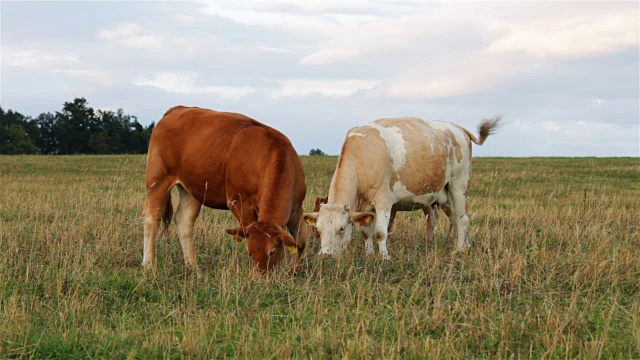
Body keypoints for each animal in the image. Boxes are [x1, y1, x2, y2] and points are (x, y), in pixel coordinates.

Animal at [142, 105, 308, 274]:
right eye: (250, 252)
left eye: (272, 252)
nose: (258, 277)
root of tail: (177, 109)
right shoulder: (240, 203)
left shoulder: (296, 208)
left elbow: (301, 241)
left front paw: (292, 271)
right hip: (157, 179)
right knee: (152, 218)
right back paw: (149, 264)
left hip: (191, 189)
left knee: (184, 220)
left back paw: (194, 268)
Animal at [304, 116, 500, 260]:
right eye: (318, 229)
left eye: (342, 228)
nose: (325, 255)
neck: (363, 157)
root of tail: (456, 127)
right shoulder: (365, 206)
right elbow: (366, 232)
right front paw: (369, 254)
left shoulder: (384, 200)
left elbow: (380, 232)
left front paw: (384, 258)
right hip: (444, 194)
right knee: (452, 218)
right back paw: (465, 245)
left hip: (459, 185)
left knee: (462, 219)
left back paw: (459, 249)